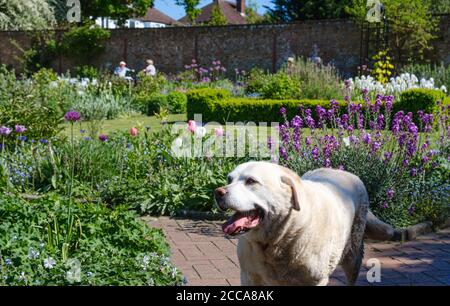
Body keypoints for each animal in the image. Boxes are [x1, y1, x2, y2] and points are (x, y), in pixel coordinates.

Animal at [214, 161, 394, 286]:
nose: (218, 192)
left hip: (353, 255)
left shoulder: (315, 280)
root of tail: (341, 171)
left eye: (251, 181)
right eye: (229, 179)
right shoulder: (249, 276)